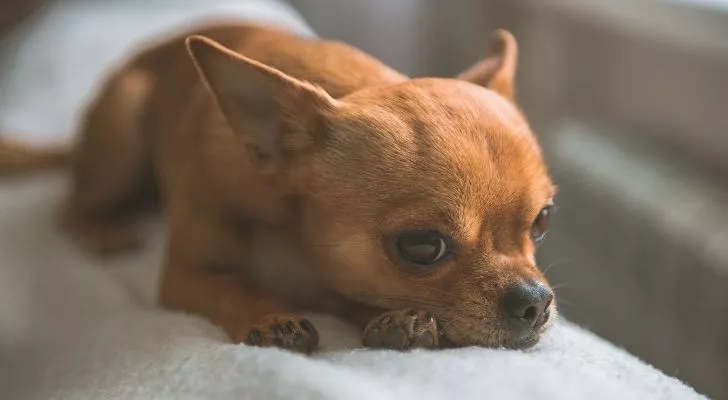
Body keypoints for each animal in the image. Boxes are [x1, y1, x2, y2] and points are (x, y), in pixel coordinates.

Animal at [1, 22, 556, 354]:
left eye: (543, 221)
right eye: (421, 246)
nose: (535, 300)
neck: (293, 234)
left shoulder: (330, 275)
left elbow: (347, 290)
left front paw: (395, 317)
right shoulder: (186, 276)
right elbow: (232, 285)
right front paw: (269, 316)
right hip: (122, 126)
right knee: (71, 203)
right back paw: (100, 228)